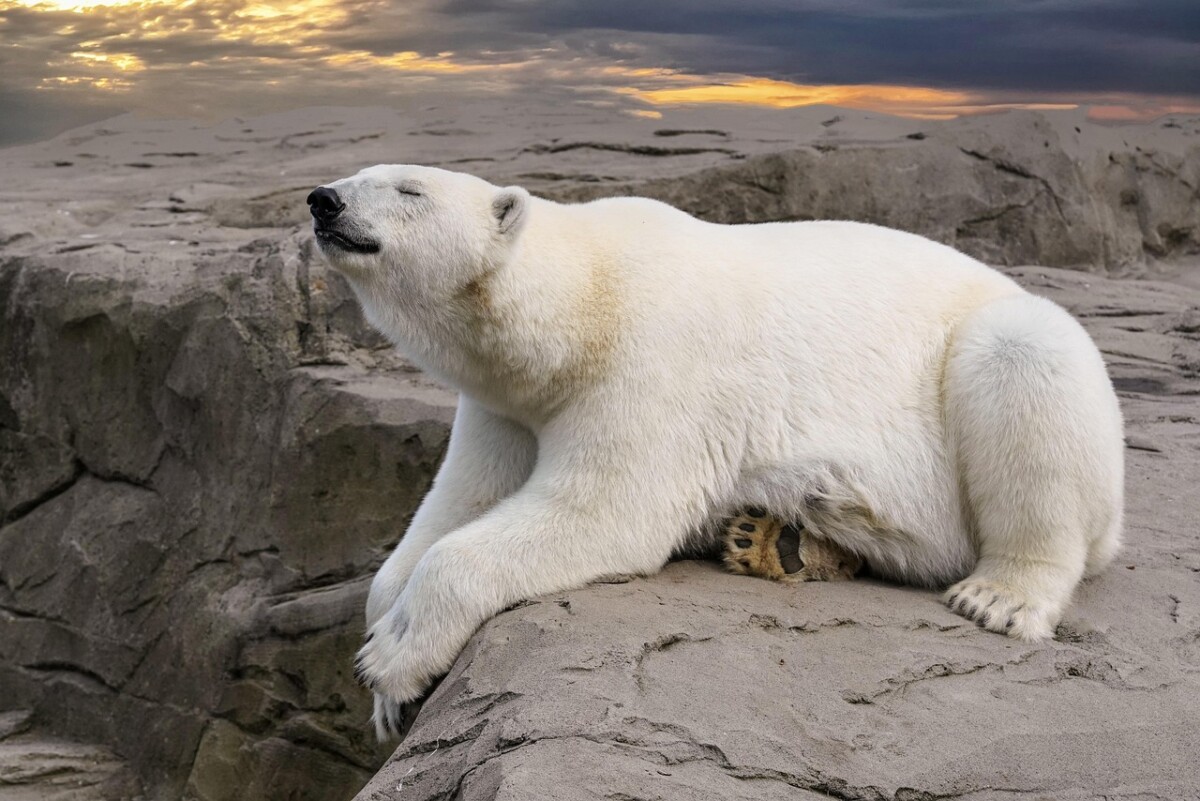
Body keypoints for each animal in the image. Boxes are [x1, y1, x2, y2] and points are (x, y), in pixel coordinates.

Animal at [307, 164, 1123, 738]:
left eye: (409, 188)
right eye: (362, 172)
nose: (324, 201)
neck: (583, 303)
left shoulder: (655, 359)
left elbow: (604, 511)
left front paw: (392, 658)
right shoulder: (505, 404)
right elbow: (459, 501)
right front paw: (386, 677)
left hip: (1002, 366)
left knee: (1024, 363)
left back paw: (1000, 595)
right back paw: (776, 537)